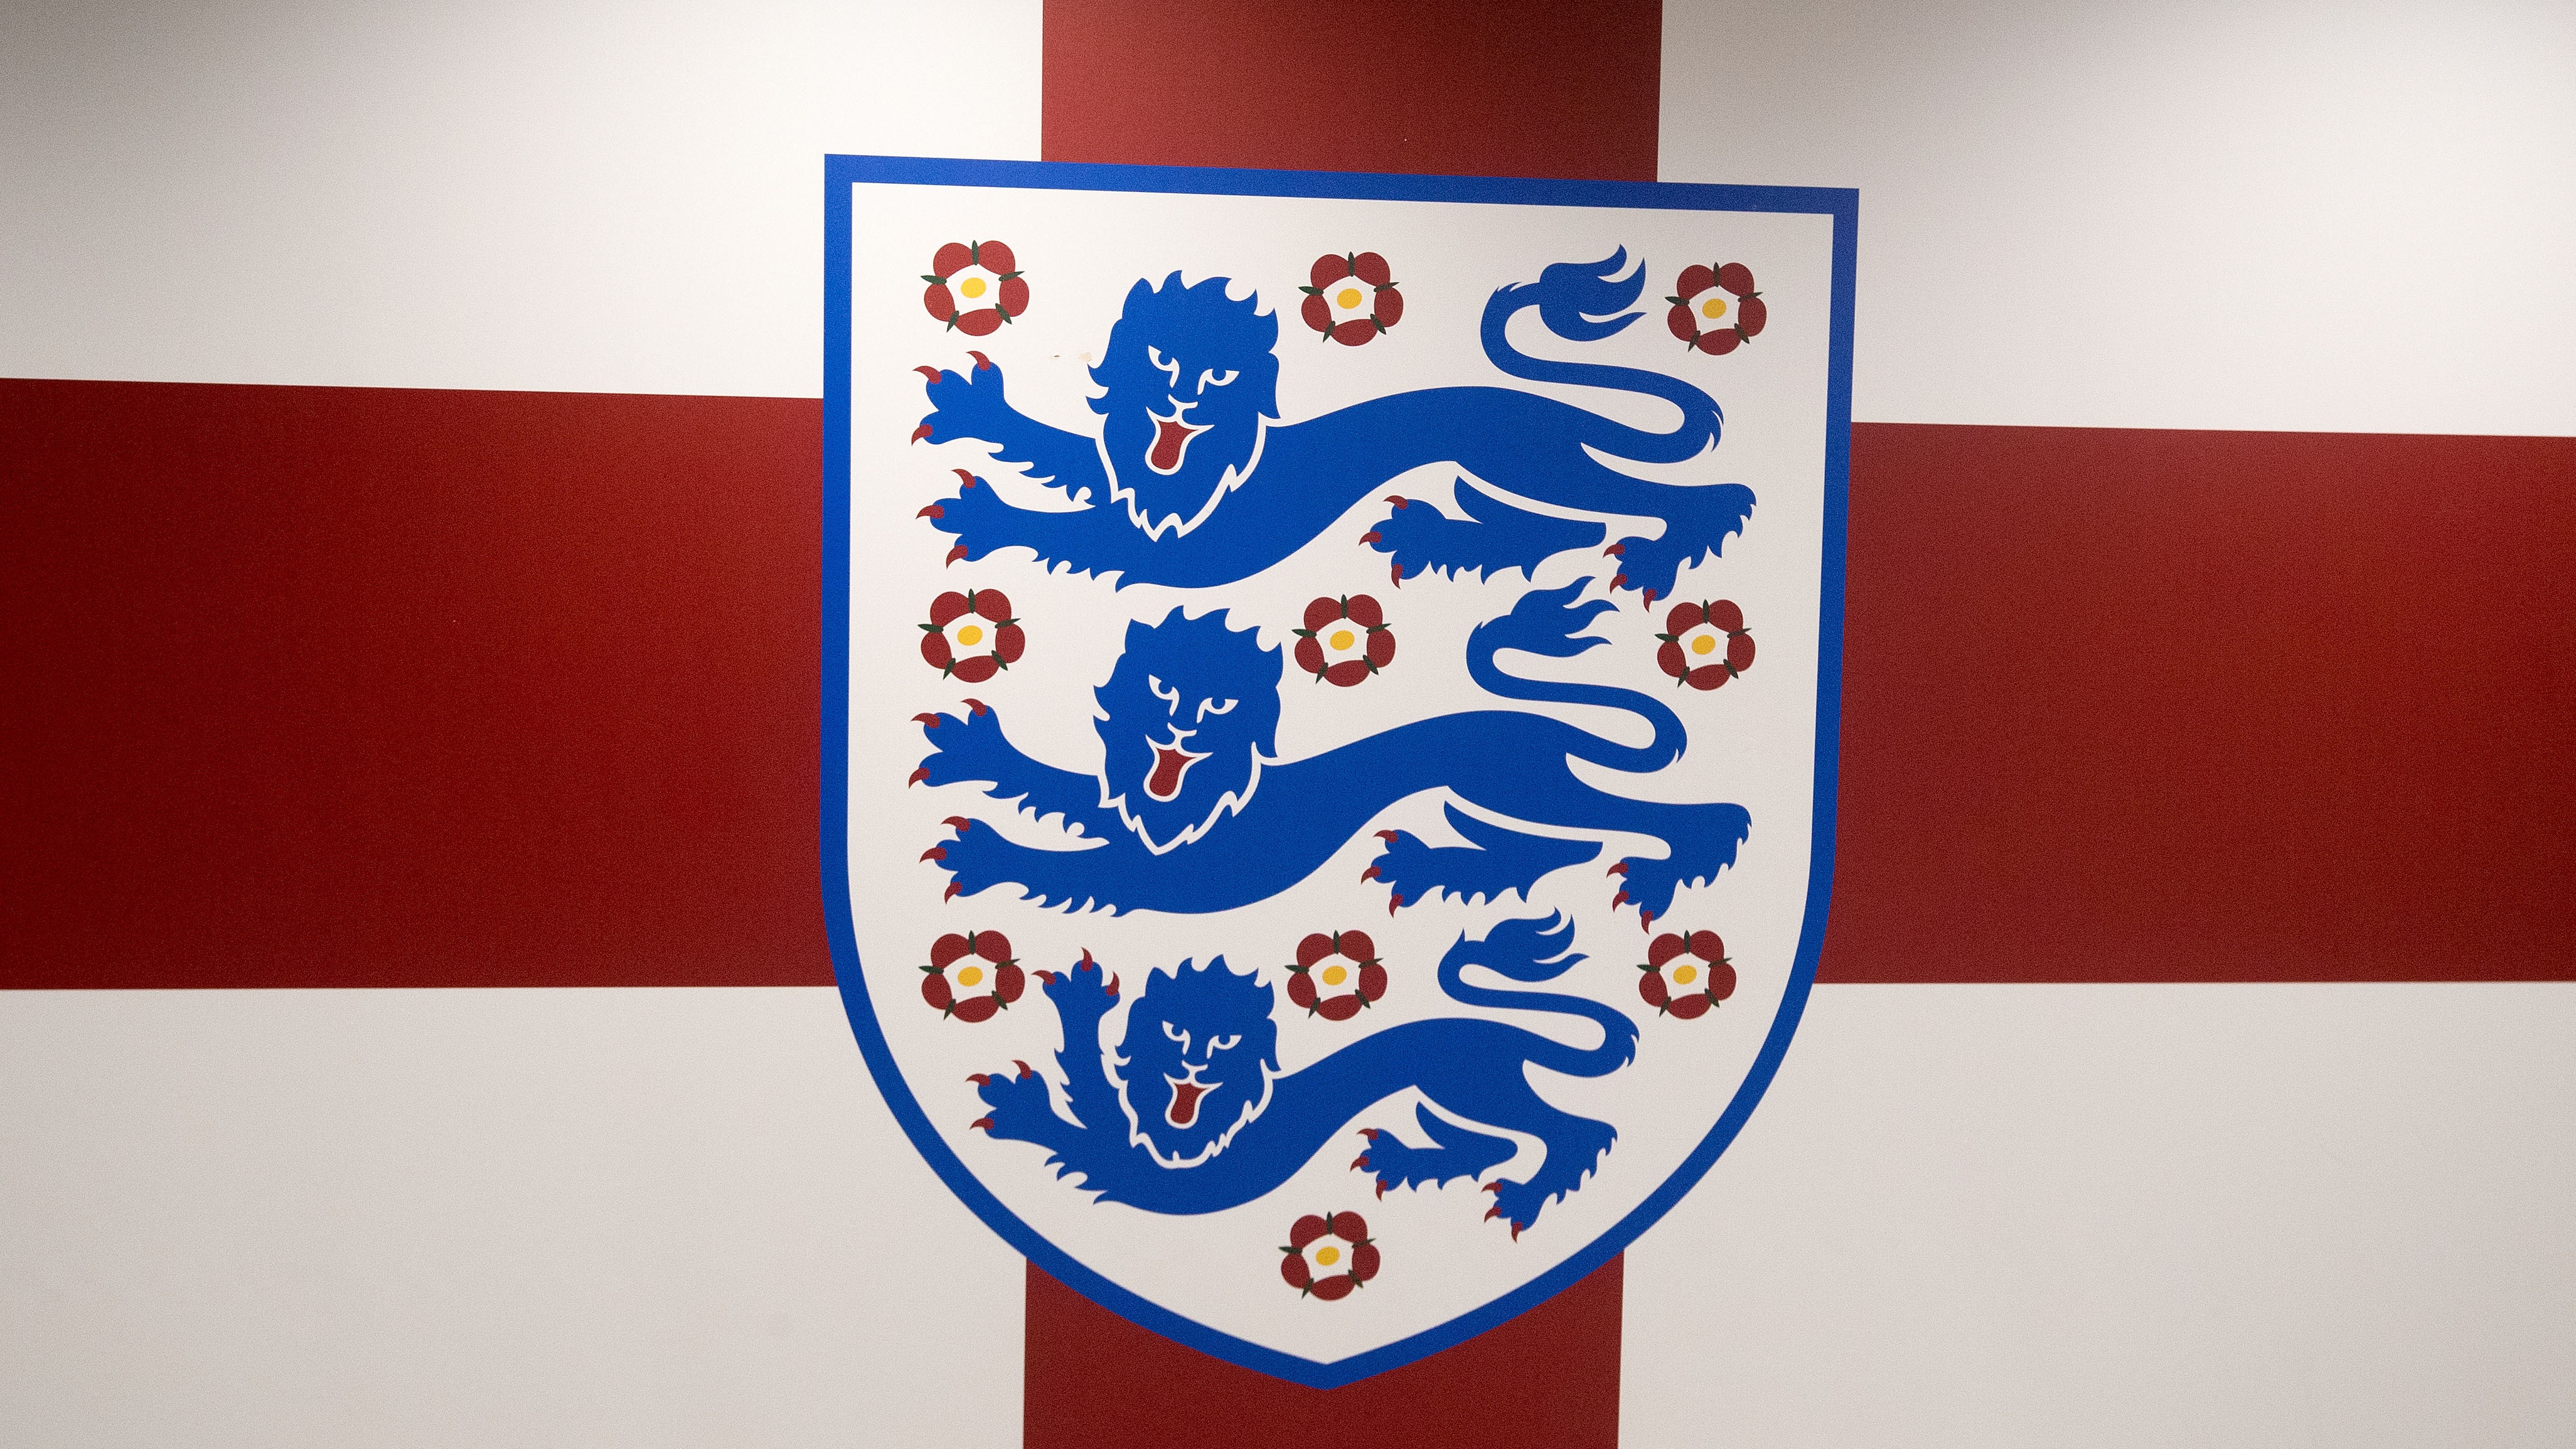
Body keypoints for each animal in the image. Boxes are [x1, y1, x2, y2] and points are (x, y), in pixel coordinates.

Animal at [912, 572, 1751, 917]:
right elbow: (1059, 790)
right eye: (1159, 687)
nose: (1182, 728)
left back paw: (1669, 869)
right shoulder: (1132, 817)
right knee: (1559, 850)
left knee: (1682, 820)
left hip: (1515, 787)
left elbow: (1063, 864)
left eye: (1221, 703)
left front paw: (984, 852)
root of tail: (1549, 724)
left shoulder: (1171, 873)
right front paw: (977, 749)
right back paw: (1433, 864)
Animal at [917, 251, 1761, 601]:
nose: (1183, 404)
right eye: (1161, 358)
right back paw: (1436, 537)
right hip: (1500, 477)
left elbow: (1062, 526)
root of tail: (1559, 409)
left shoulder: (1178, 545)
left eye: (1220, 377)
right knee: (1569, 531)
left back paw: (1658, 556)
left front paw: (983, 513)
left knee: (1702, 499)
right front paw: (976, 407)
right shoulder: (1128, 482)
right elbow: (1063, 454)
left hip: (1528, 464)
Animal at [958, 912, 1638, 1227]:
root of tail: (1510, 1031)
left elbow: (1085, 1110)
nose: (1194, 1059)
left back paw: (1526, 1195)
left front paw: (1022, 1103)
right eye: (1173, 1030)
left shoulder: (1163, 1169)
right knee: (1501, 1143)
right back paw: (1410, 1158)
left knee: (1580, 1131)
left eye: (1226, 1039)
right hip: (1447, 1091)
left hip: (1472, 1085)